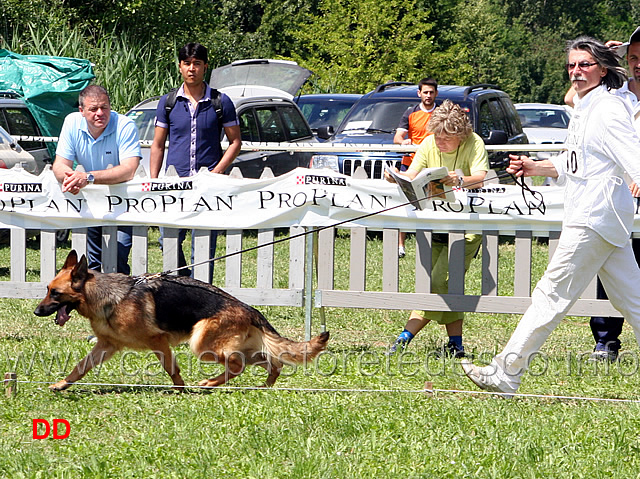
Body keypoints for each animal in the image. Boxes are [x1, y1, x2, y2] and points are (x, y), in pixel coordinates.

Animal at [33, 249, 330, 392]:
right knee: (271, 361)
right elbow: (80, 367)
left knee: (238, 365)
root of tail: (249, 308)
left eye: (55, 293)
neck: (105, 296)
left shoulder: (158, 342)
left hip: (202, 344)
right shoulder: (106, 346)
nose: (36, 311)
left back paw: (209, 384)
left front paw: (180, 389)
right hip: (236, 347)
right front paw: (62, 384)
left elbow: (171, 368)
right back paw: (264, 386)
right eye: (47, 289)